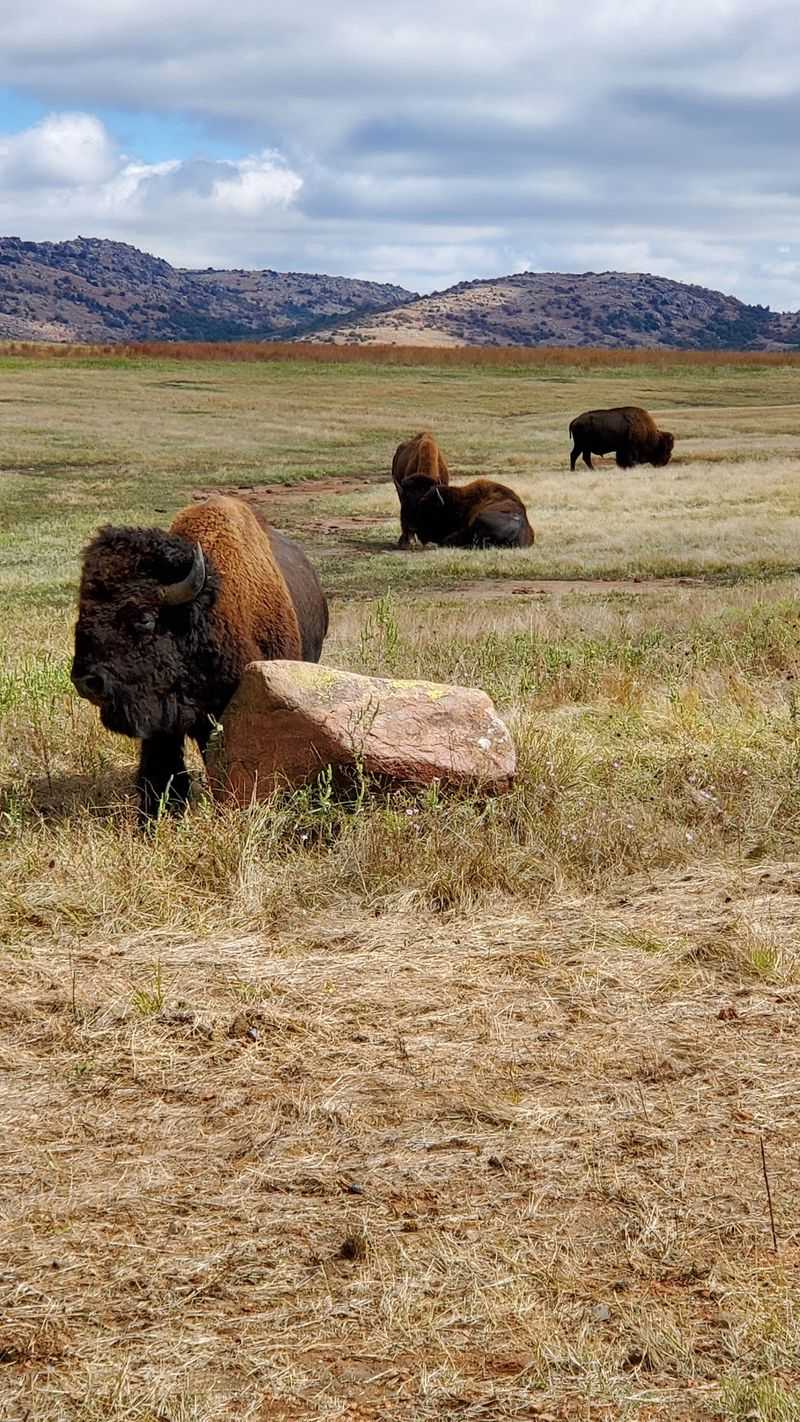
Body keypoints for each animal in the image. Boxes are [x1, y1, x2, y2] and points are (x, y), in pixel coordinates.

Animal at [71, 494, 328, 823]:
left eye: (144, 618)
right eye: (82, 612)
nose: (87, 681)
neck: (203, 613)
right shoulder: (164, 721)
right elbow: (161, 767)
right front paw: (154, 816)